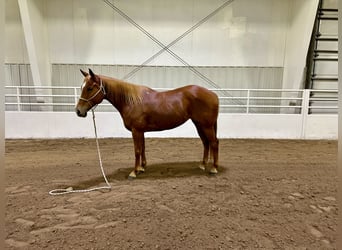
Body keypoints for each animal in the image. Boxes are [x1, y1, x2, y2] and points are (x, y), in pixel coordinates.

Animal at [75, 68, 219, 178]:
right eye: (82, 87)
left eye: (89, 88)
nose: (78, 111)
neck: (131, 101)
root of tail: (213, 95)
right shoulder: (141, 131)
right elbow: (143, 148)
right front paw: (142, 167)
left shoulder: (136, 130)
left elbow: (137, 150)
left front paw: (134, 172)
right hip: (199, 124)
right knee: (206, 143)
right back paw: (202, 165)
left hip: (206, 126)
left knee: (214, 143)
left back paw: (214, 168)